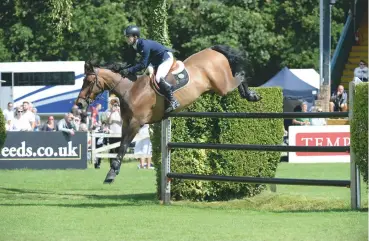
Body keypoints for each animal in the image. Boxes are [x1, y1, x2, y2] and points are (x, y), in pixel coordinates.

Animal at [75, 44, 260, 184]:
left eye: (88, 81)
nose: (79, 104)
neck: (130, 89)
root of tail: (213, 50)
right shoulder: (126, 123)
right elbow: (120, 146)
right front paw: (112, 171)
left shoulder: (135, 123)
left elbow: (123, 147)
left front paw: (111, 174)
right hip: (217, 87)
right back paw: (249, 94)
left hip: (222, 86)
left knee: (240, 76)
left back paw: (250, 94)